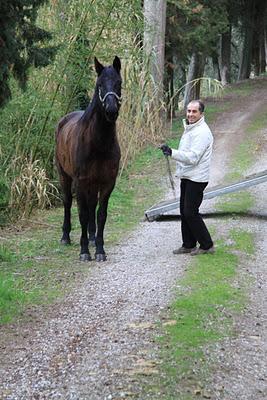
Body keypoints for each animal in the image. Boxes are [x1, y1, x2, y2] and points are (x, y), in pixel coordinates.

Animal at [55, 57, 122, 262]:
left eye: (119, 83)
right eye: (99, 84)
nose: (111, 110)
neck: (98, 144)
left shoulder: (107, 183)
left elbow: (101, 214)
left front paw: (99, 250)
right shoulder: (80, 182)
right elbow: (83, 214)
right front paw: (84, 251)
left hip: (93, 183)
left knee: (93, 206)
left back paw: (92, 238)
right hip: (64, 176)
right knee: (67, 202)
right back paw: (65, 237)